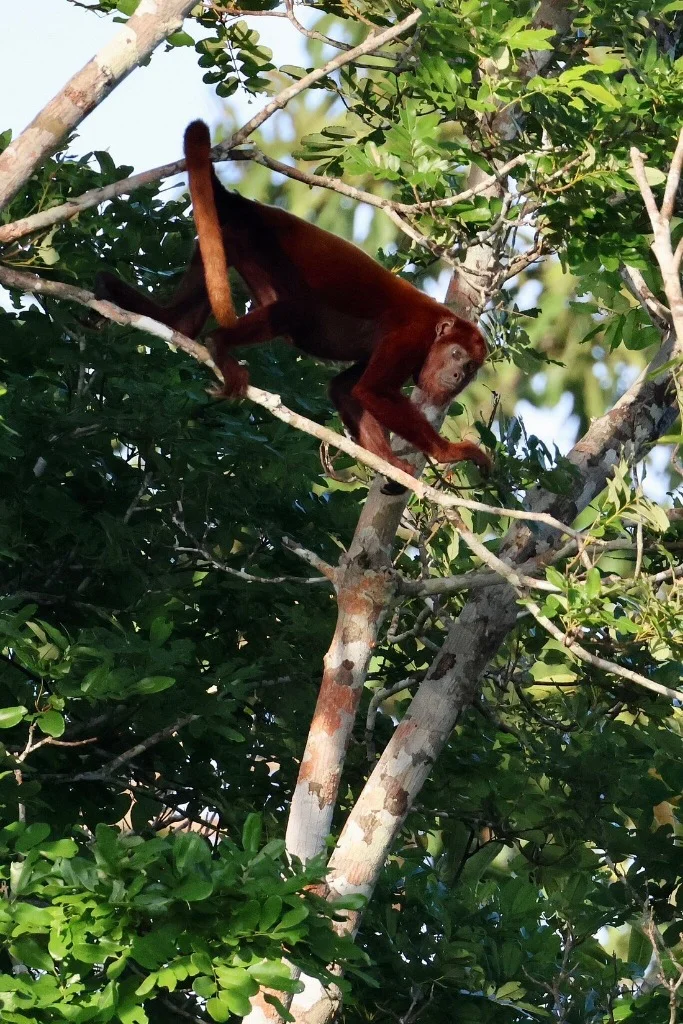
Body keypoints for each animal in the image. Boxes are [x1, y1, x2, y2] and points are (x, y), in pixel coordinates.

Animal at [96, 120, 490, 481]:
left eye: (472, 368)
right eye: (456, 354)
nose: (459, 375)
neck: (437, 328)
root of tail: (247, 206)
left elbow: (346, 389)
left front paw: (391, 466)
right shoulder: (412, 333)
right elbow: (372, 391)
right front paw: (449, 452)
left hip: (224, 240)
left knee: (184, 317)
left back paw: (117, 295)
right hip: (259, 242)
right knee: (293, 311)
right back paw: (219, 344)